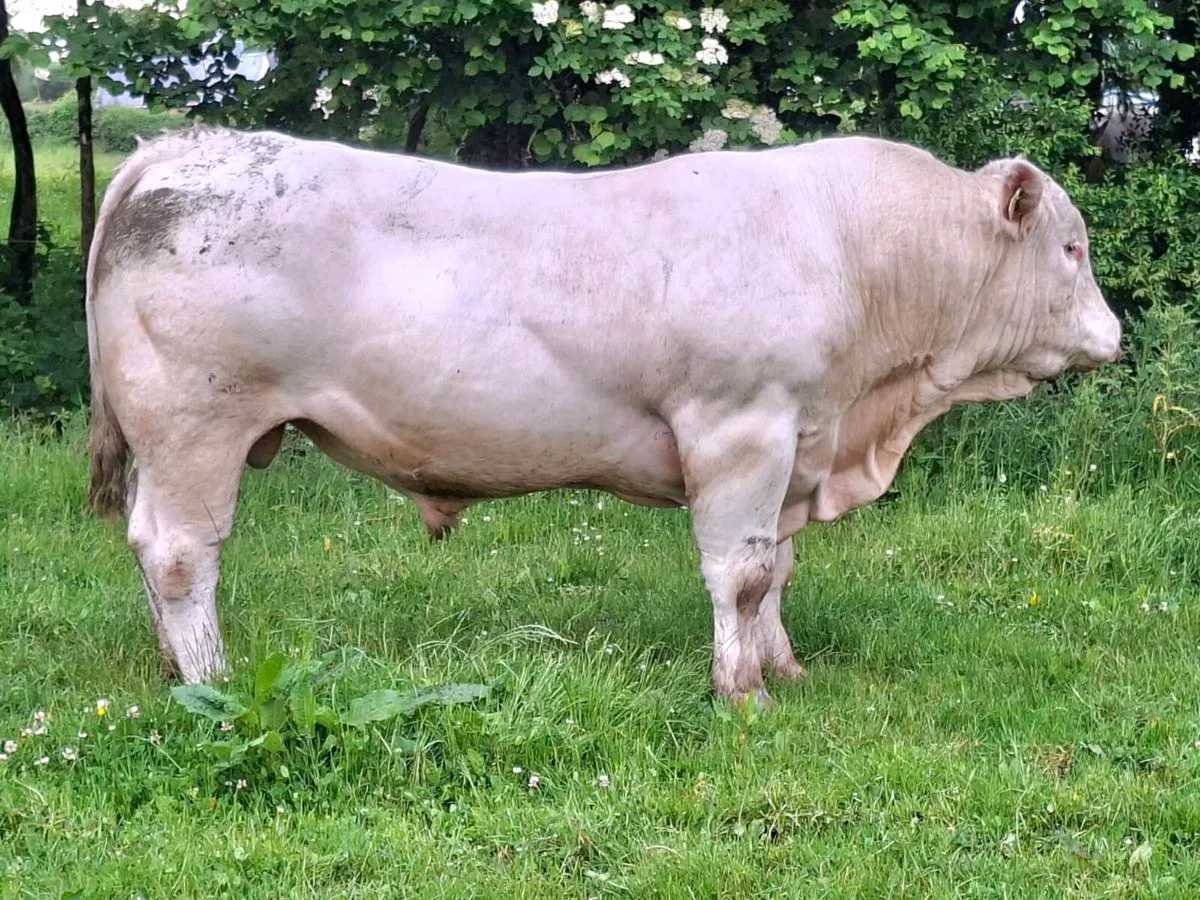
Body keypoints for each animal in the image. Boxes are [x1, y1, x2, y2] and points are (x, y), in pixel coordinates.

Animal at [85, 127, 1122, 705]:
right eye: (1072, 248)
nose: (1113, 336)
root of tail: (178, 148)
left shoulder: (800, 440)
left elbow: (779, 570)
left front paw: (785, 670)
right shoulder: (740, 428)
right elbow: (741, 573)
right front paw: (742, 693)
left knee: (147, 547)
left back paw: (177, 671)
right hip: (195, 423)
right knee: (180, 552)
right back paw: (211, 682)